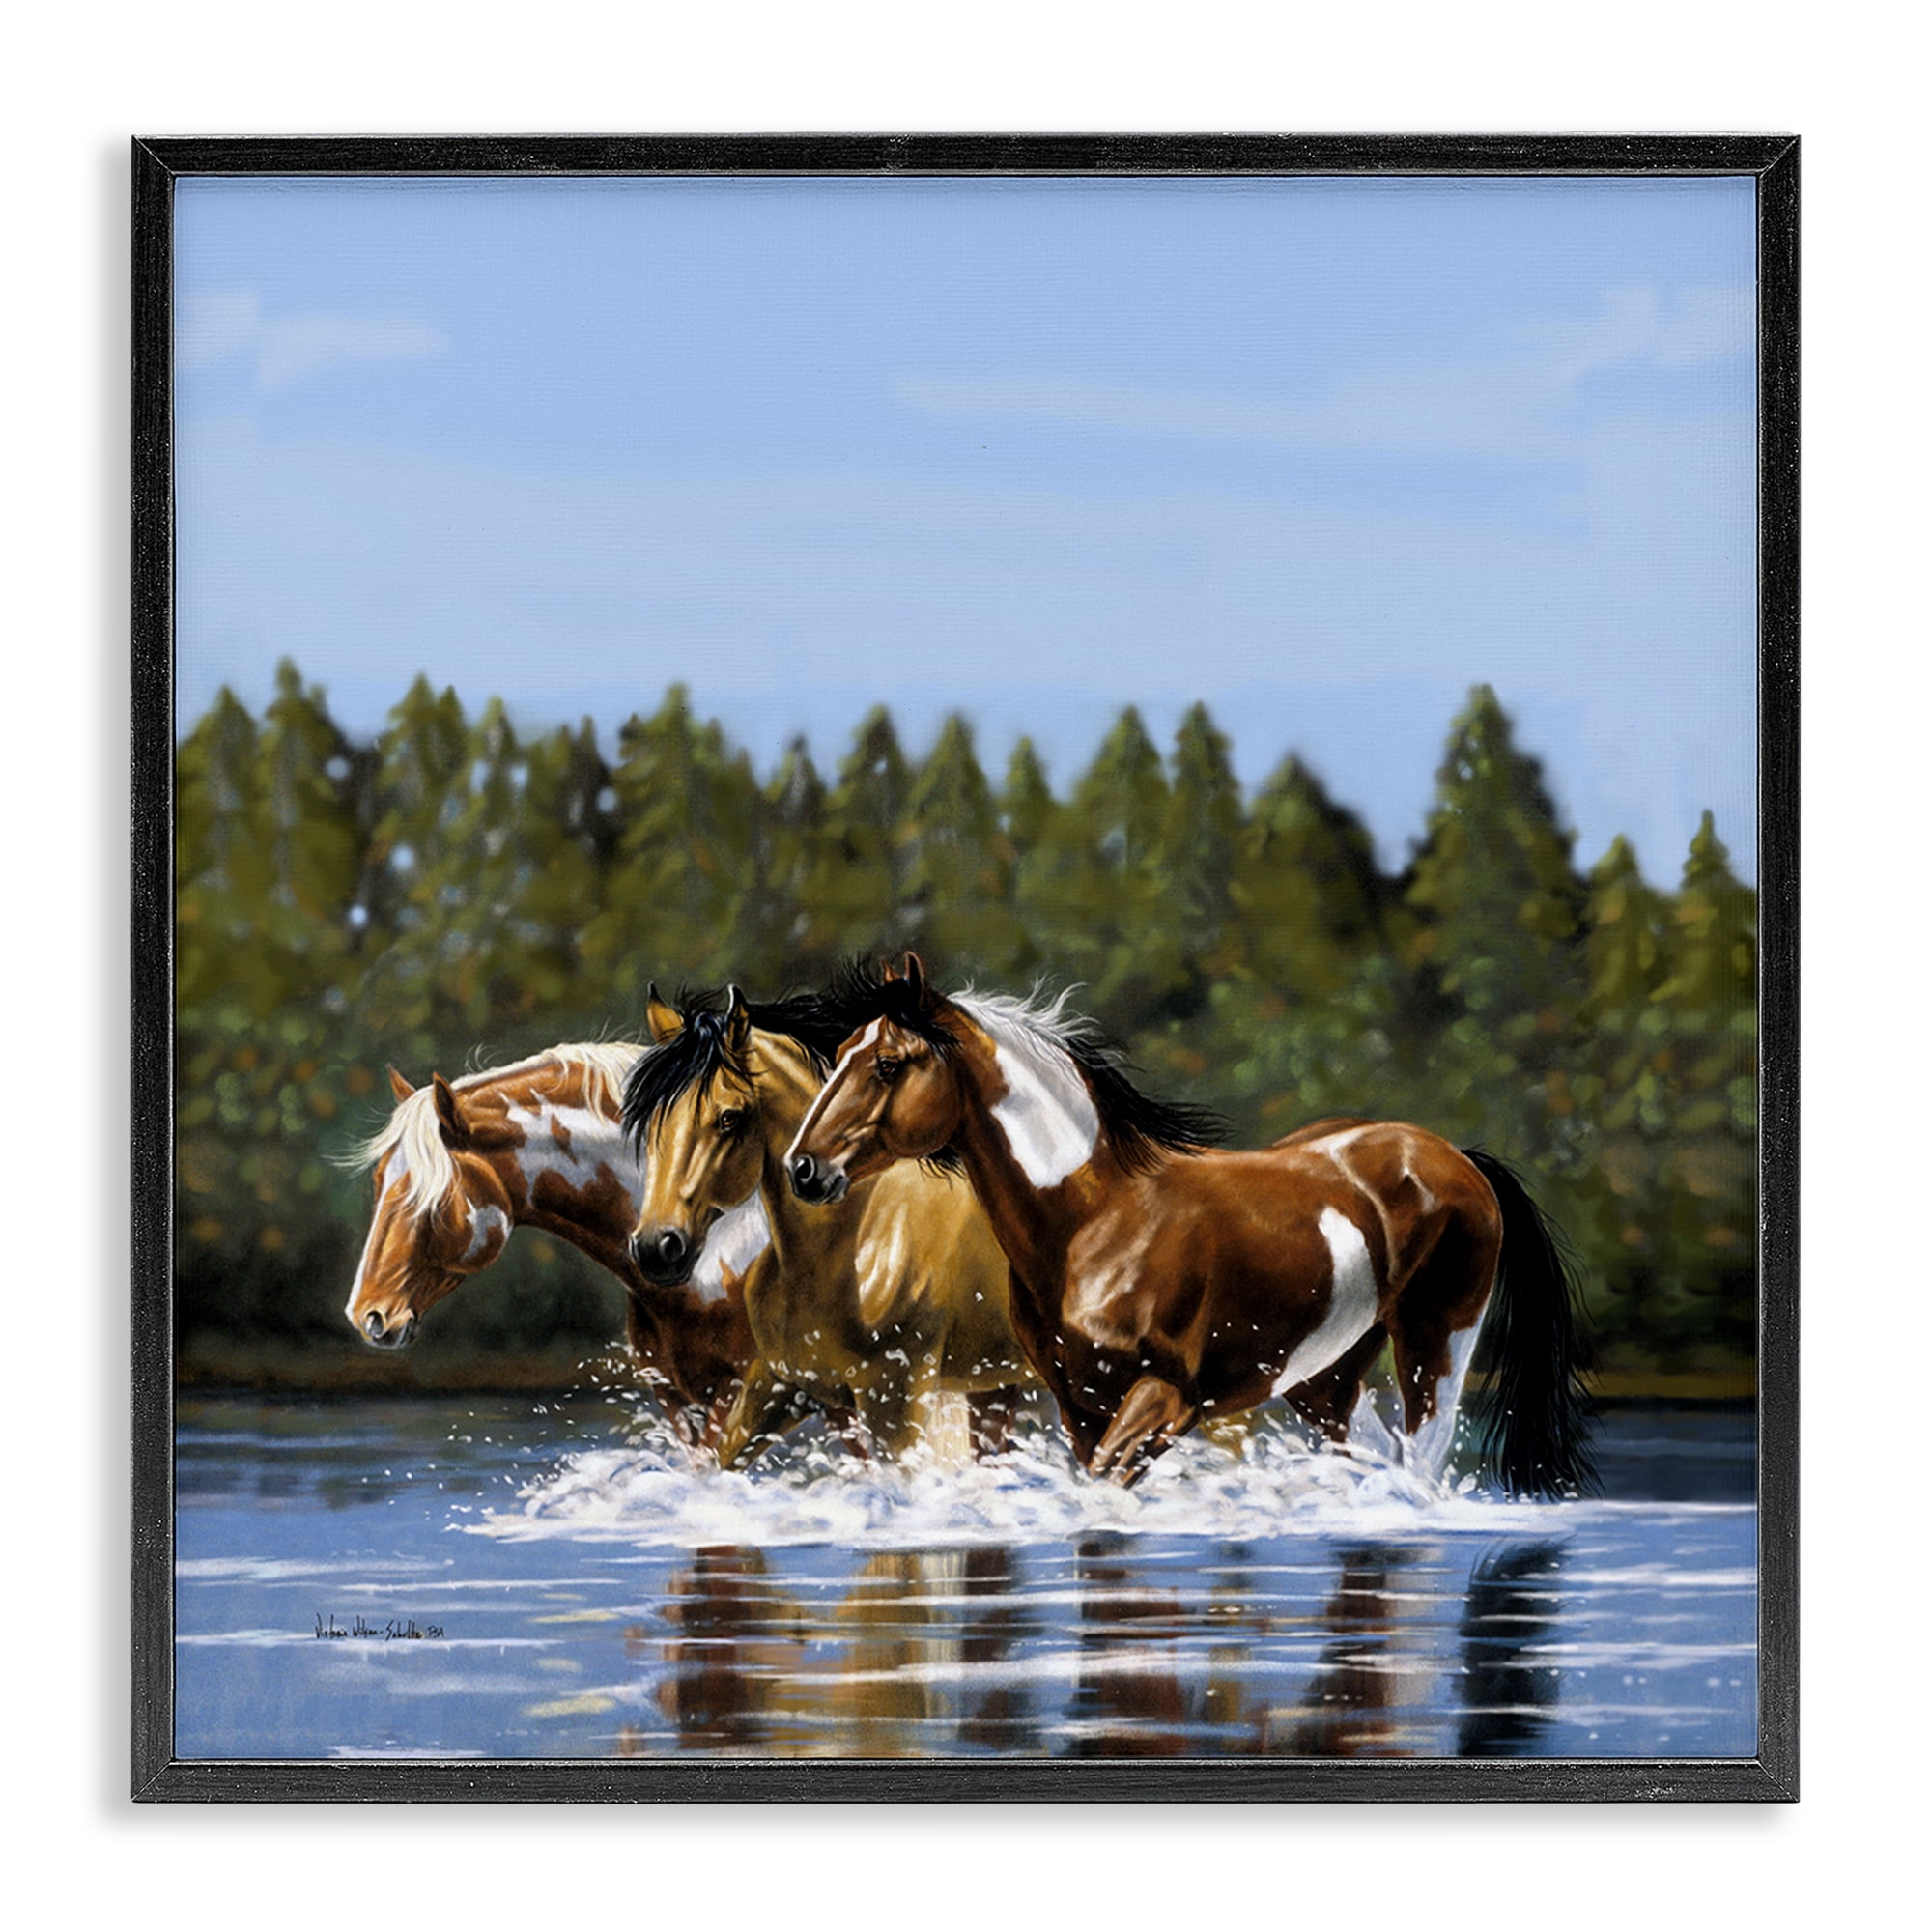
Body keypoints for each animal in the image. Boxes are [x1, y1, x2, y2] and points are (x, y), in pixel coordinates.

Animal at [621, 987, 1038, 1469]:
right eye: (654, 1121)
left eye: (728, 1118)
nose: (656, 1247)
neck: (848, 1246)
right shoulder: (777, 1385)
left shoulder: (893, 1400)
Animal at [785, 956, 1595, 1496]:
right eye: (846, 1053)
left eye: (889, 1064)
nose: (804, 1168)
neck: (1095, 1220)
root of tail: (1454, 1156)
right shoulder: (1081, 1407)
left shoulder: (1164, 1401)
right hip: (1324, 1377)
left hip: (1436, 1348)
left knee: (1421, 1459)